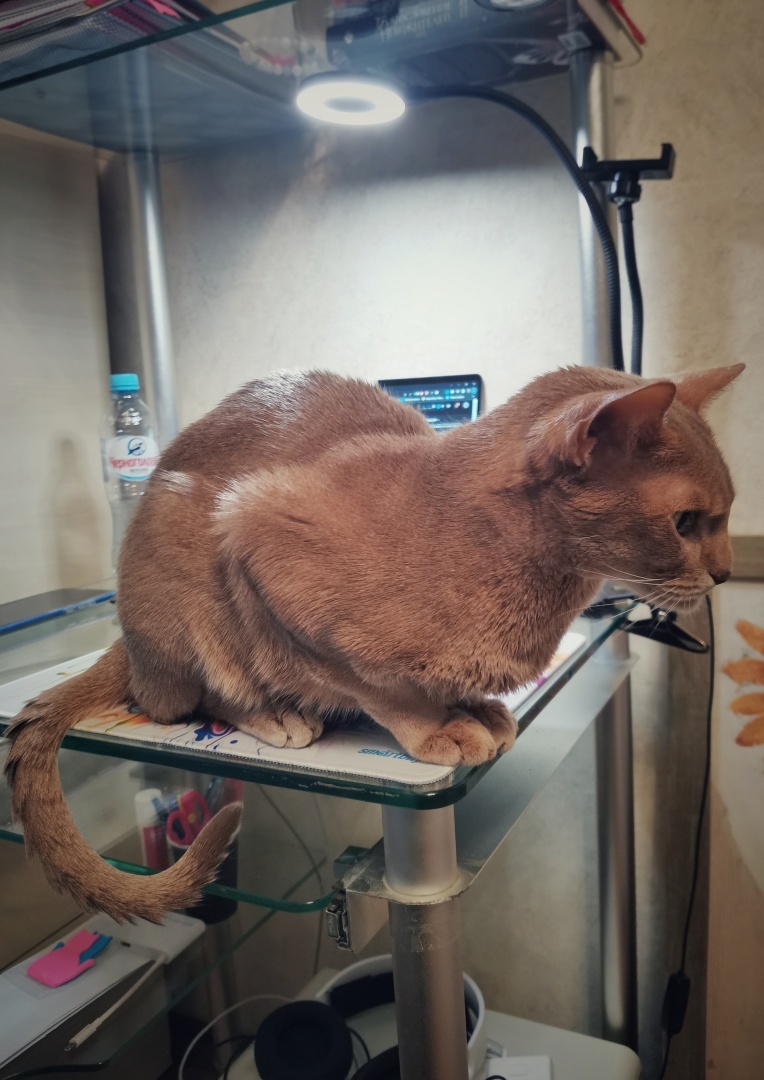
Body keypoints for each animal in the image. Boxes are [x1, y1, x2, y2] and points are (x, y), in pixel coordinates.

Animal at [4, 362, 743, 922]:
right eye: (685, 522)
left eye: (727, 512)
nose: (728, 572)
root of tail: (125, 640)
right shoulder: (259, 539)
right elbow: (374, 686)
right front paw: (436, 726)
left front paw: (477, 709)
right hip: (186, 560)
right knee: (187, 698)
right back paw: (275, 714)